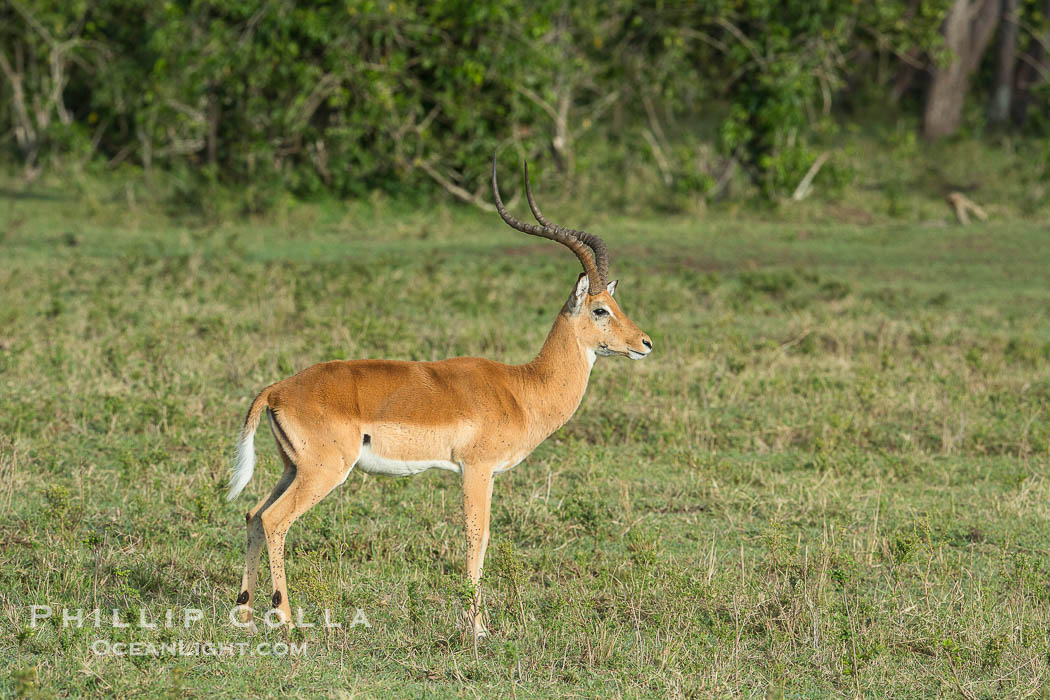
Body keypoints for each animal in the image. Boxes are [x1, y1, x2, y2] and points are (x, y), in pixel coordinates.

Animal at [227, 158, 652, 639]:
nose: (645, 343)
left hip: (292, 468)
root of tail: (276, 389)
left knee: (253, 515)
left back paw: (244, 613)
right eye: (600, 309)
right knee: (274, 519)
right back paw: (282, 616)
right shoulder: (476, 470)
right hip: (323, 471)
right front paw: (478, 628)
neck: (521, 389)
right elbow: (477, 536)